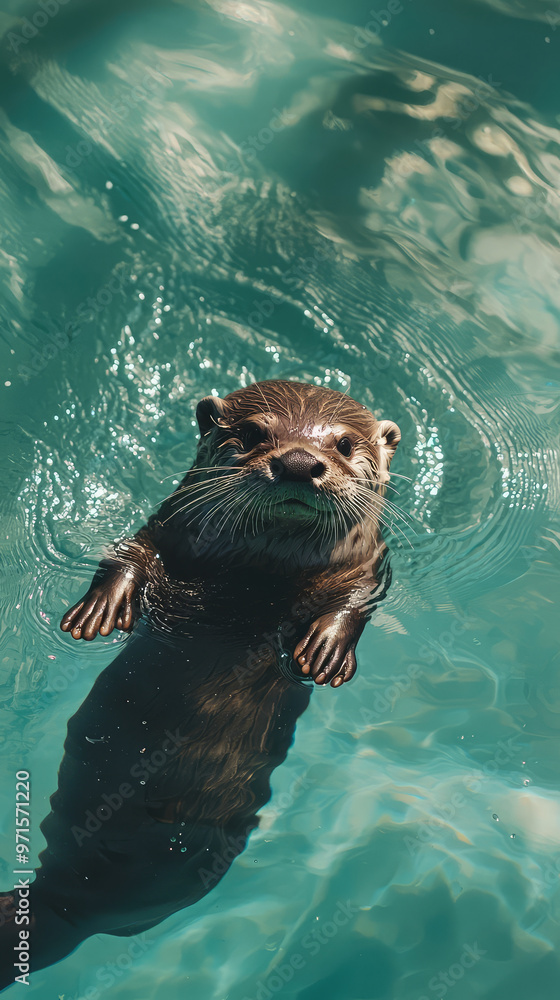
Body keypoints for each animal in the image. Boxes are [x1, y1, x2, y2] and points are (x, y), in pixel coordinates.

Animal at [0, 380, 400, 988]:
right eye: (254, 433)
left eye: (345, 444)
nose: (299, 462)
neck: (256, 579)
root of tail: (59, 907)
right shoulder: (166, 526)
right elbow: (132, 551)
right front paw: (100, 608)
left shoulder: (369, 563)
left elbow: (357, 597)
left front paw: (325, 649)